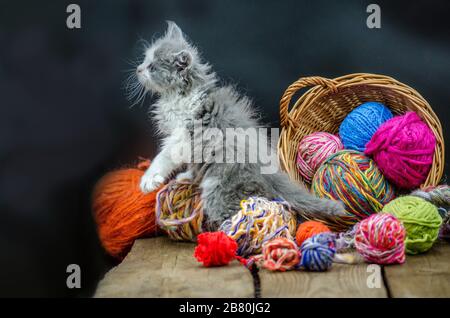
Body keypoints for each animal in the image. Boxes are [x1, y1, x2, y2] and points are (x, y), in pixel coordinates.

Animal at [134, 22, 344, 230]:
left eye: (152, 67)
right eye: (145, 60)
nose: (138, 69)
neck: (181, 94)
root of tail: (271, 173)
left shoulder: (182, 136)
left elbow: (163, 157)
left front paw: (149, 180)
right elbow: (191, 165)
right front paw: (187, 176)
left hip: (220, 187)